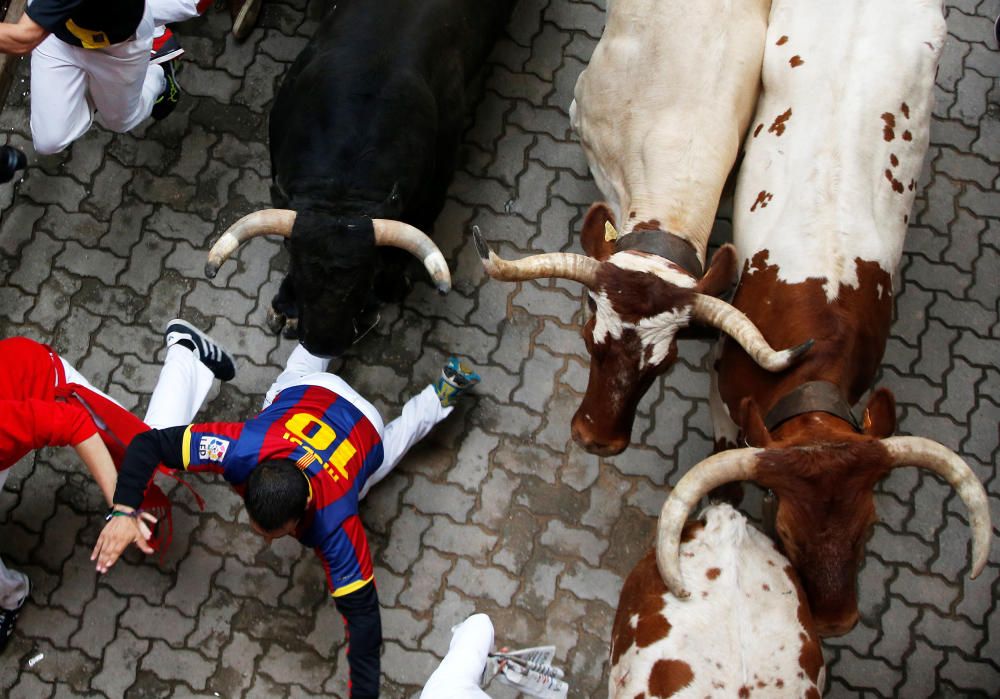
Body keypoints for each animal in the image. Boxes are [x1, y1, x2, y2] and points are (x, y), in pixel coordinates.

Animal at [205, 0, 516, 358]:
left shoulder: (433, 191)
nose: (323, 344)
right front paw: (286, 308)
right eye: (296, 265)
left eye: (365, 275)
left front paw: (389, 289)